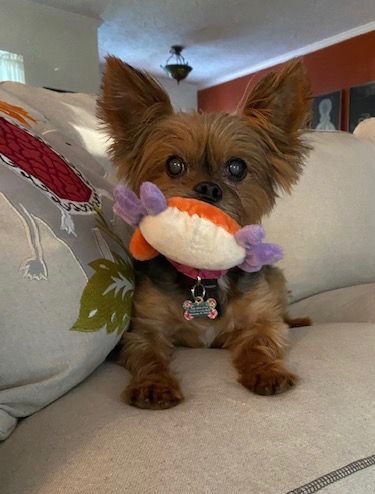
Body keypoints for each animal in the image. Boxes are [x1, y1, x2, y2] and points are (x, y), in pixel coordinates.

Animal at [98, 57, 312, 410]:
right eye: (174, 165)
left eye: (237, 167)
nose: (209, 189)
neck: (203, 276)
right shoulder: (144, 330)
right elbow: (148, 355)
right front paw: (154, 386)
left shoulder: (262, 320)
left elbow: (260, 341)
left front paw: (266, 371)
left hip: (276, 279)